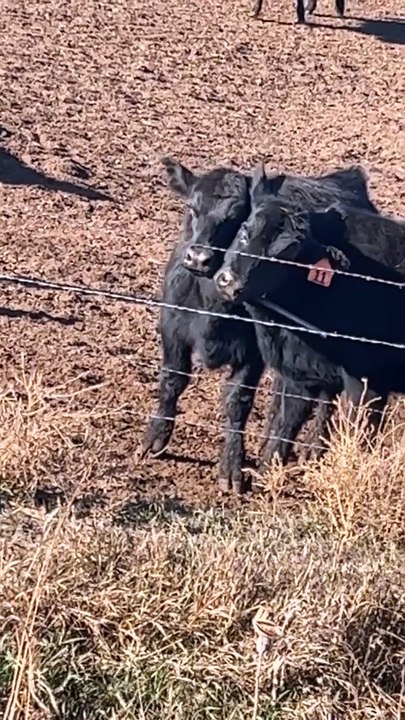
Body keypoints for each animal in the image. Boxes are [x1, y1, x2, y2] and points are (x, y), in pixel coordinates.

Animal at [141, 158, 379, 493]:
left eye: (235, 218)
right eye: (191, 208)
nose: (198, 258)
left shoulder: (252, 353)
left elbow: (237, 403)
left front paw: (231, 469)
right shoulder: (172, 330)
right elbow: (172, 382)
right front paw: (154, 439)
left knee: (325, 396)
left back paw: (311, 450)